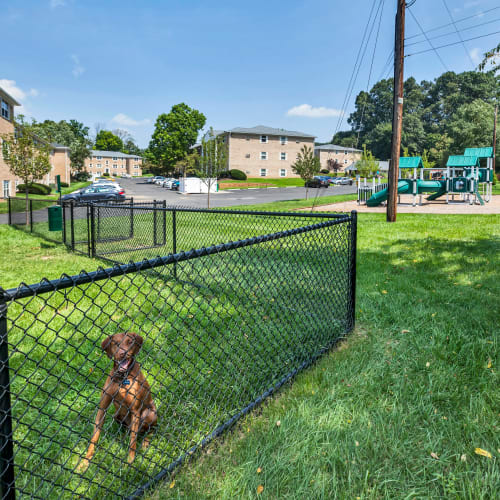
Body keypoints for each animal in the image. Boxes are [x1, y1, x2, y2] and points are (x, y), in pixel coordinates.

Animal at [77, 334, 156, 470]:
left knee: (149, 430)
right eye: (115, 343)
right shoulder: (102, 408)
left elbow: (133, 441)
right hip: (117, 415)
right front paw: (85, 461)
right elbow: (94, 437)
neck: (122, 378)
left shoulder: (135, 410)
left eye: (129, 342)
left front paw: (130, 462)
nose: (122, 353)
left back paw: (145, 442)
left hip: (150, 413)